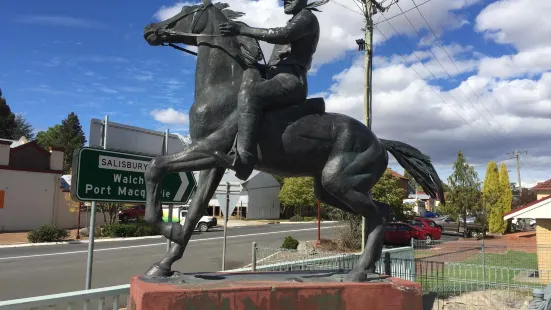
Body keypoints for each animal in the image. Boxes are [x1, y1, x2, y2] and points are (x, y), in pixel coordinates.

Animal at [142, 0, 444, 282]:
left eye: (186, 9)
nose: (150, 29)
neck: (220, 89)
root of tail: (380, 142)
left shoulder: (211, 148)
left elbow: (156, 167)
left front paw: (168, 230)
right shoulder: (213, 163)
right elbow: (194, 208)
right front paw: (164, 263)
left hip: (339, 182)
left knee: (378, 216)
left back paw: (358, 273)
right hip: (331, 189)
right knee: (379, 212)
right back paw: (366, 269)